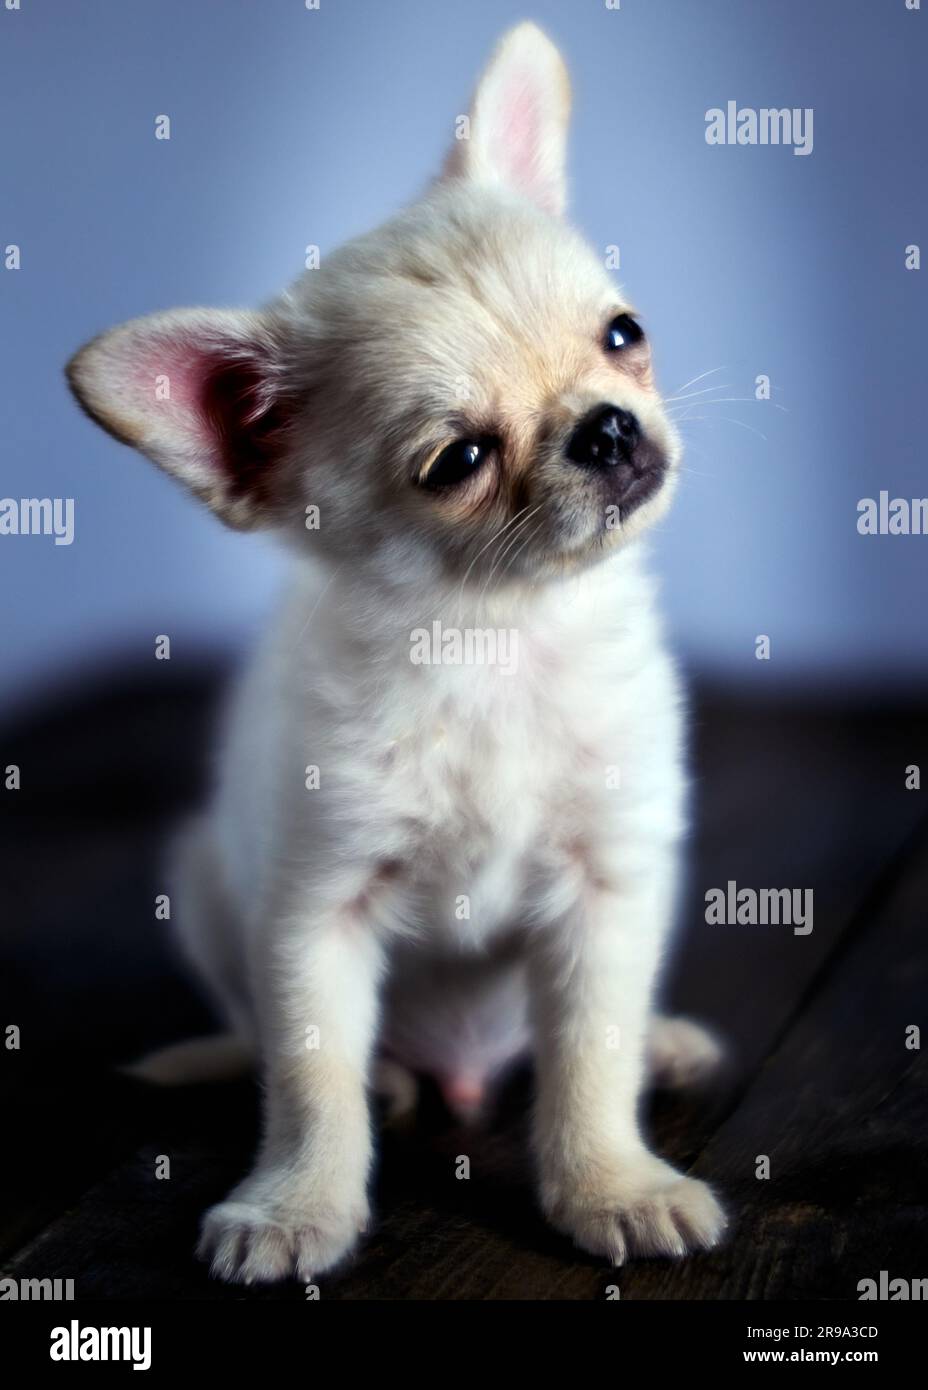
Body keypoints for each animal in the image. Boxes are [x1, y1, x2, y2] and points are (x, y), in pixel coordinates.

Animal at [68, 24, 727, 1278]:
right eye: (457, 460)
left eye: (623, 336)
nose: (607, 425)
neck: (492, 634)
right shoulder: (310, 916)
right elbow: (308, 1079)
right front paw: (295, 1204)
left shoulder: (606, 889)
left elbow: (589, 1058)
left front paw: (607, 1182)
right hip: (205, 880)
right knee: (279, 1043)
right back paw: (391, 1077)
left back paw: (658, 1040)